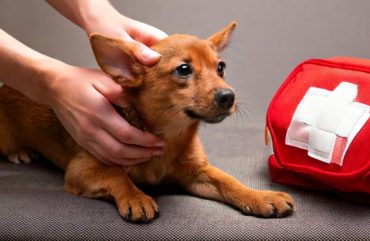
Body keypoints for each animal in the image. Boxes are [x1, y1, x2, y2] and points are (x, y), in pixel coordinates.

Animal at [0, 21, 294, 223]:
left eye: (221, 67)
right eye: (184, 70)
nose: (228, 96)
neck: (171, 136)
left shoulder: (197, 173)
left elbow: (229, 182)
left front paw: (260, 197)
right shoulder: (81, 170)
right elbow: (116, 174)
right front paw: (136, 197)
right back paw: (20, 152)